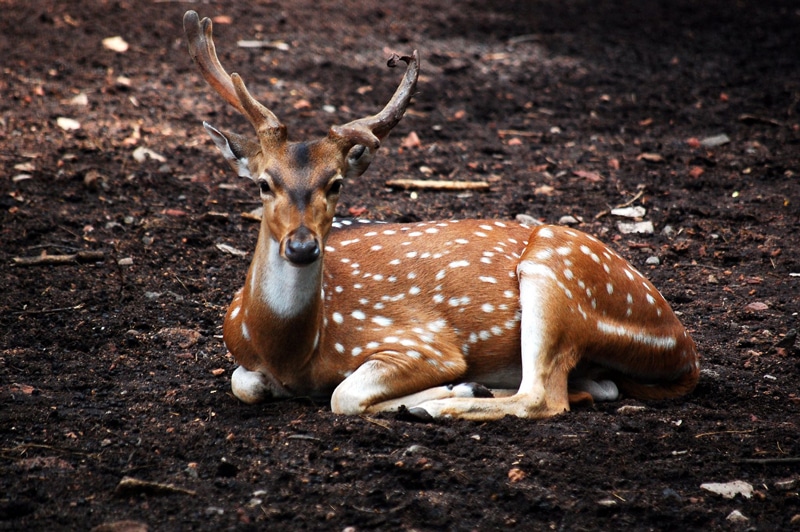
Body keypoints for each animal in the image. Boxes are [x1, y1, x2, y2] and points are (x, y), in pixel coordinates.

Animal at [183, 10, 700, 420]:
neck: (293, 350)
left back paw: (441, 403)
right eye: (263, 182)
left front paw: (450, 386)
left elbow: (343, 395)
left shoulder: (425, 342)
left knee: (542, 397)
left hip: (557, 272)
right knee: (598, 388)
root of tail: (685, 348)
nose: (303, 245)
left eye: (337, 183)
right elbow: (244, 382)